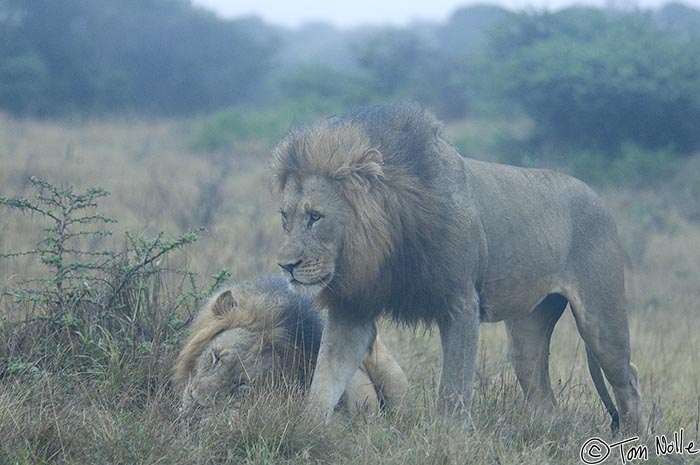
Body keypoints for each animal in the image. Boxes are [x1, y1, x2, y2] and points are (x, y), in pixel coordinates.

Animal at [270, 101, 644, 432]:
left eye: (315, 217)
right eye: (285, 217)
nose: (286, 266)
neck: (386, 243)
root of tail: (598, 198)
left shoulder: (461, 301)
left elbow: (453, 389)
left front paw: (450, 437)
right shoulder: (354, 307)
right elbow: (325, 378)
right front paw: (308, 429)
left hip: (601, 319)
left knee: (628, 378)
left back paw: (633, 439)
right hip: (528, 331)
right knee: (543, 395)